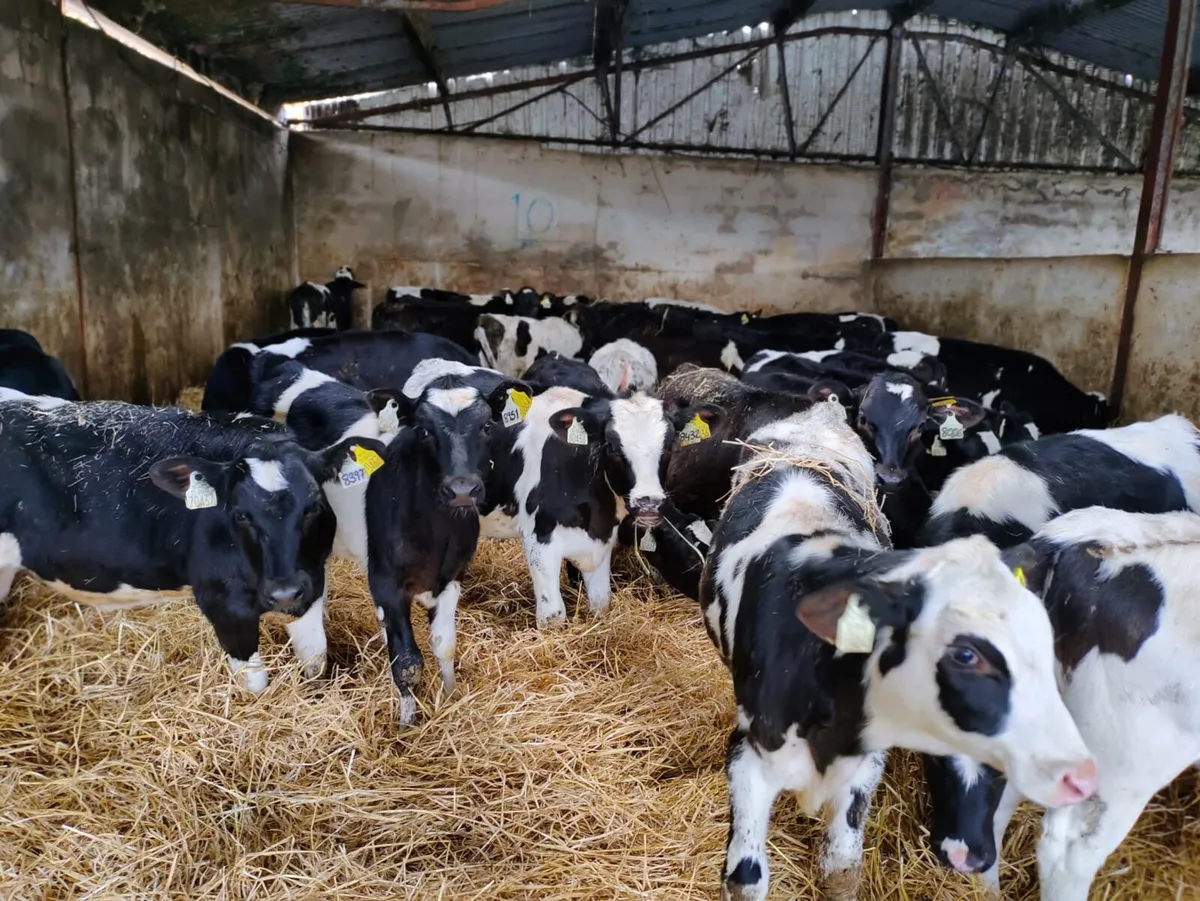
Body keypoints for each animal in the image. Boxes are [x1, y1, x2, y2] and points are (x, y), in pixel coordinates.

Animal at [0, 393, 383, 692]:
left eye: (313, 506)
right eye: (240, 515)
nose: (284, 592)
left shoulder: (312, 580)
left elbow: (315, 658)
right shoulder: (223, 602)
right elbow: (254, 683)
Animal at [364, 373, 528, 724]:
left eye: (486, 426)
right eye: (423, 430)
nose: (462, 490)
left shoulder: (452, 576)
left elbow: (444, 643)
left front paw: (450, 696)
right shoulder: (385, 582)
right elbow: (407, 662)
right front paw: (408, 723)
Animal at [483, 384, 723, 627]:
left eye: (669, 447)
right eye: (613, 448)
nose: (649, 503)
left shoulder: (602, 540)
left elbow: (601, 602)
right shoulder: (538, 538)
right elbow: (553, 615)